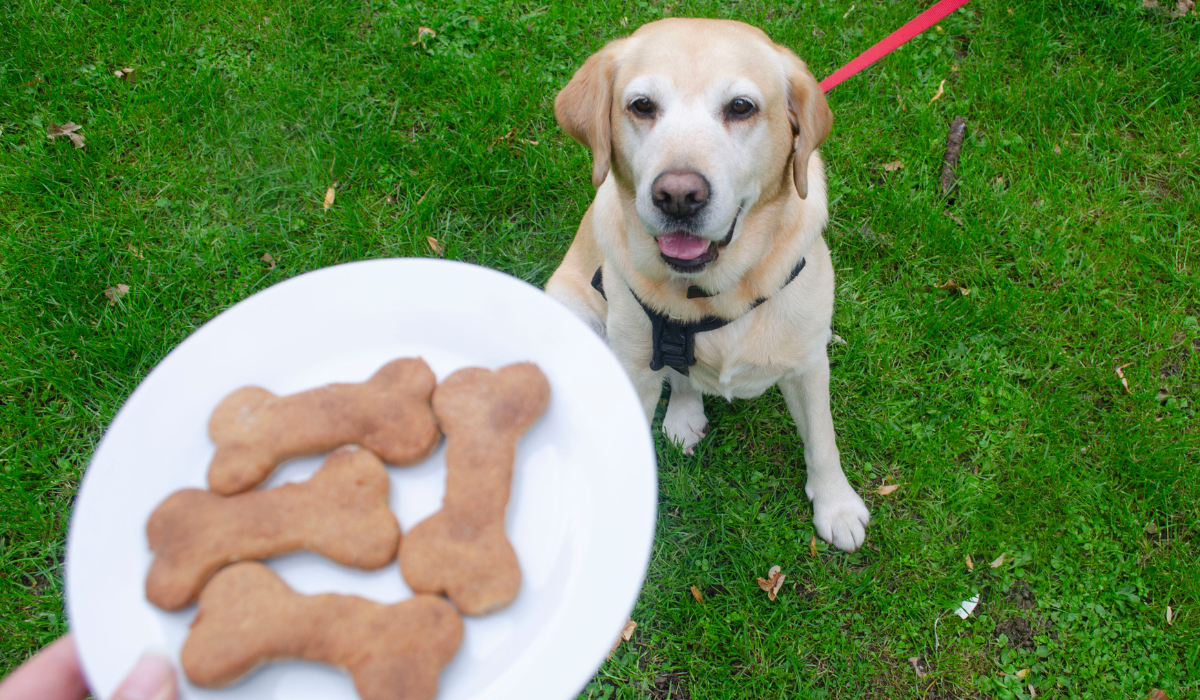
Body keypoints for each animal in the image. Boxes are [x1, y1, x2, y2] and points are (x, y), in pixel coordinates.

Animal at [549, 17, 868, 552]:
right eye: (642, 106)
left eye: (741, 107)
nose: (678, 195)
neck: (716, 290)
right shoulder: (635, 369)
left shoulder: (807, 364)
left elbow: (823, 440)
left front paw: (837, 506)